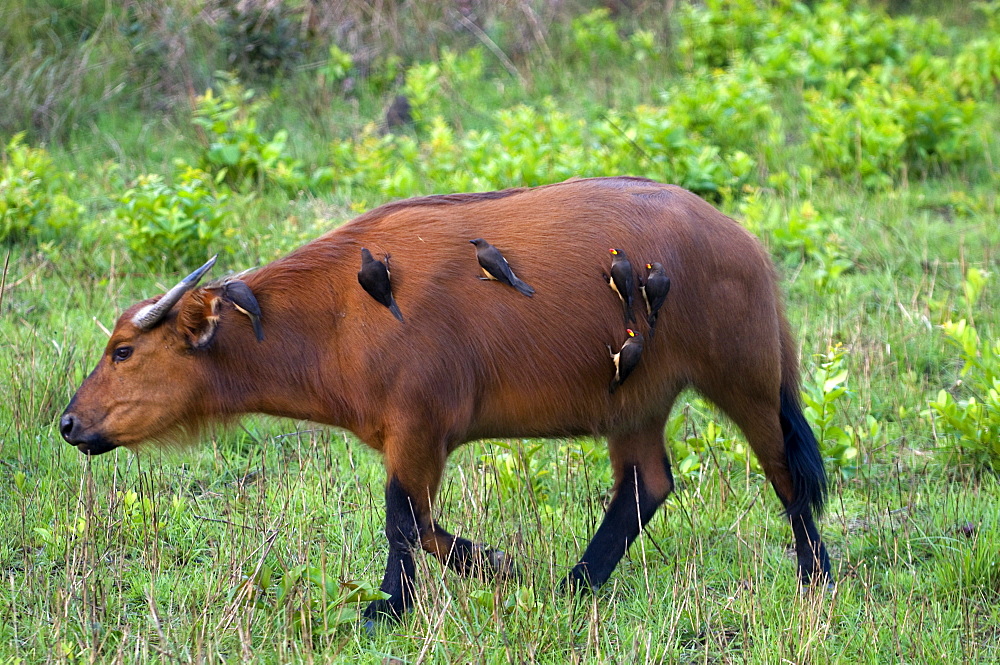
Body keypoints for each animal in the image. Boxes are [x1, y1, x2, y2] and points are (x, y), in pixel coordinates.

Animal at [58, 175, 832, 624]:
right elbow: (419, 524)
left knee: (789, 478)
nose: (68, 422)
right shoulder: (412, 440)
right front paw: (493, 569)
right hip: (634, 406)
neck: (340, 309)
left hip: (748, 385)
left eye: (122, 351)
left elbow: (405, 522)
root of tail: (740, 241)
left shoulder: (417, 432)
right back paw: (576, 585)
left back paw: (816, 578)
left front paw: (395, 607)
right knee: (647, 485)